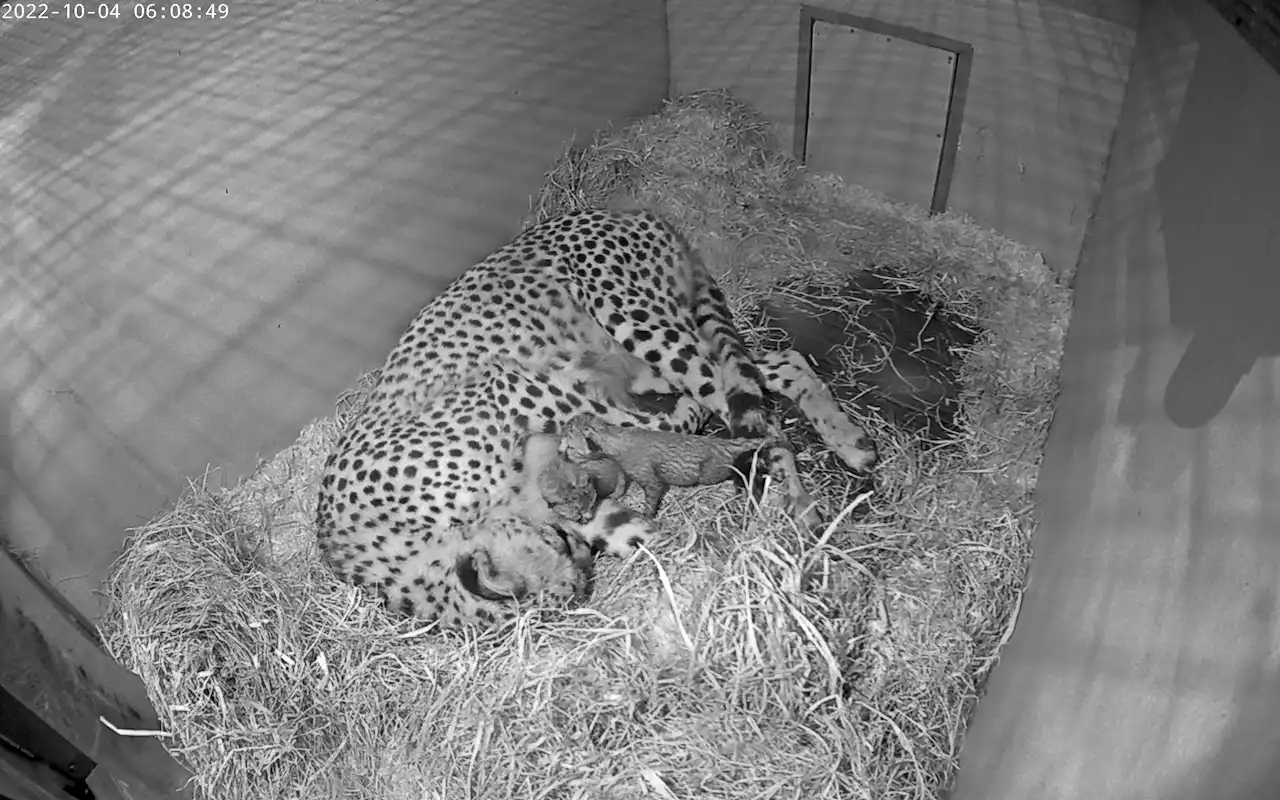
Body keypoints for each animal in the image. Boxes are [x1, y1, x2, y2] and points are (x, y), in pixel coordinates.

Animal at [317, 207, 880, 629]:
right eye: (568, 543)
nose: (583, 580)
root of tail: (624, 210)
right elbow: (634, 522)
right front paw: (676, 548)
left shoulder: (523, 387)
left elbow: (655, 420)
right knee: (777, 367)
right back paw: (846, 449)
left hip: (636, 319)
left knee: (729, 398)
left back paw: (798, 507)